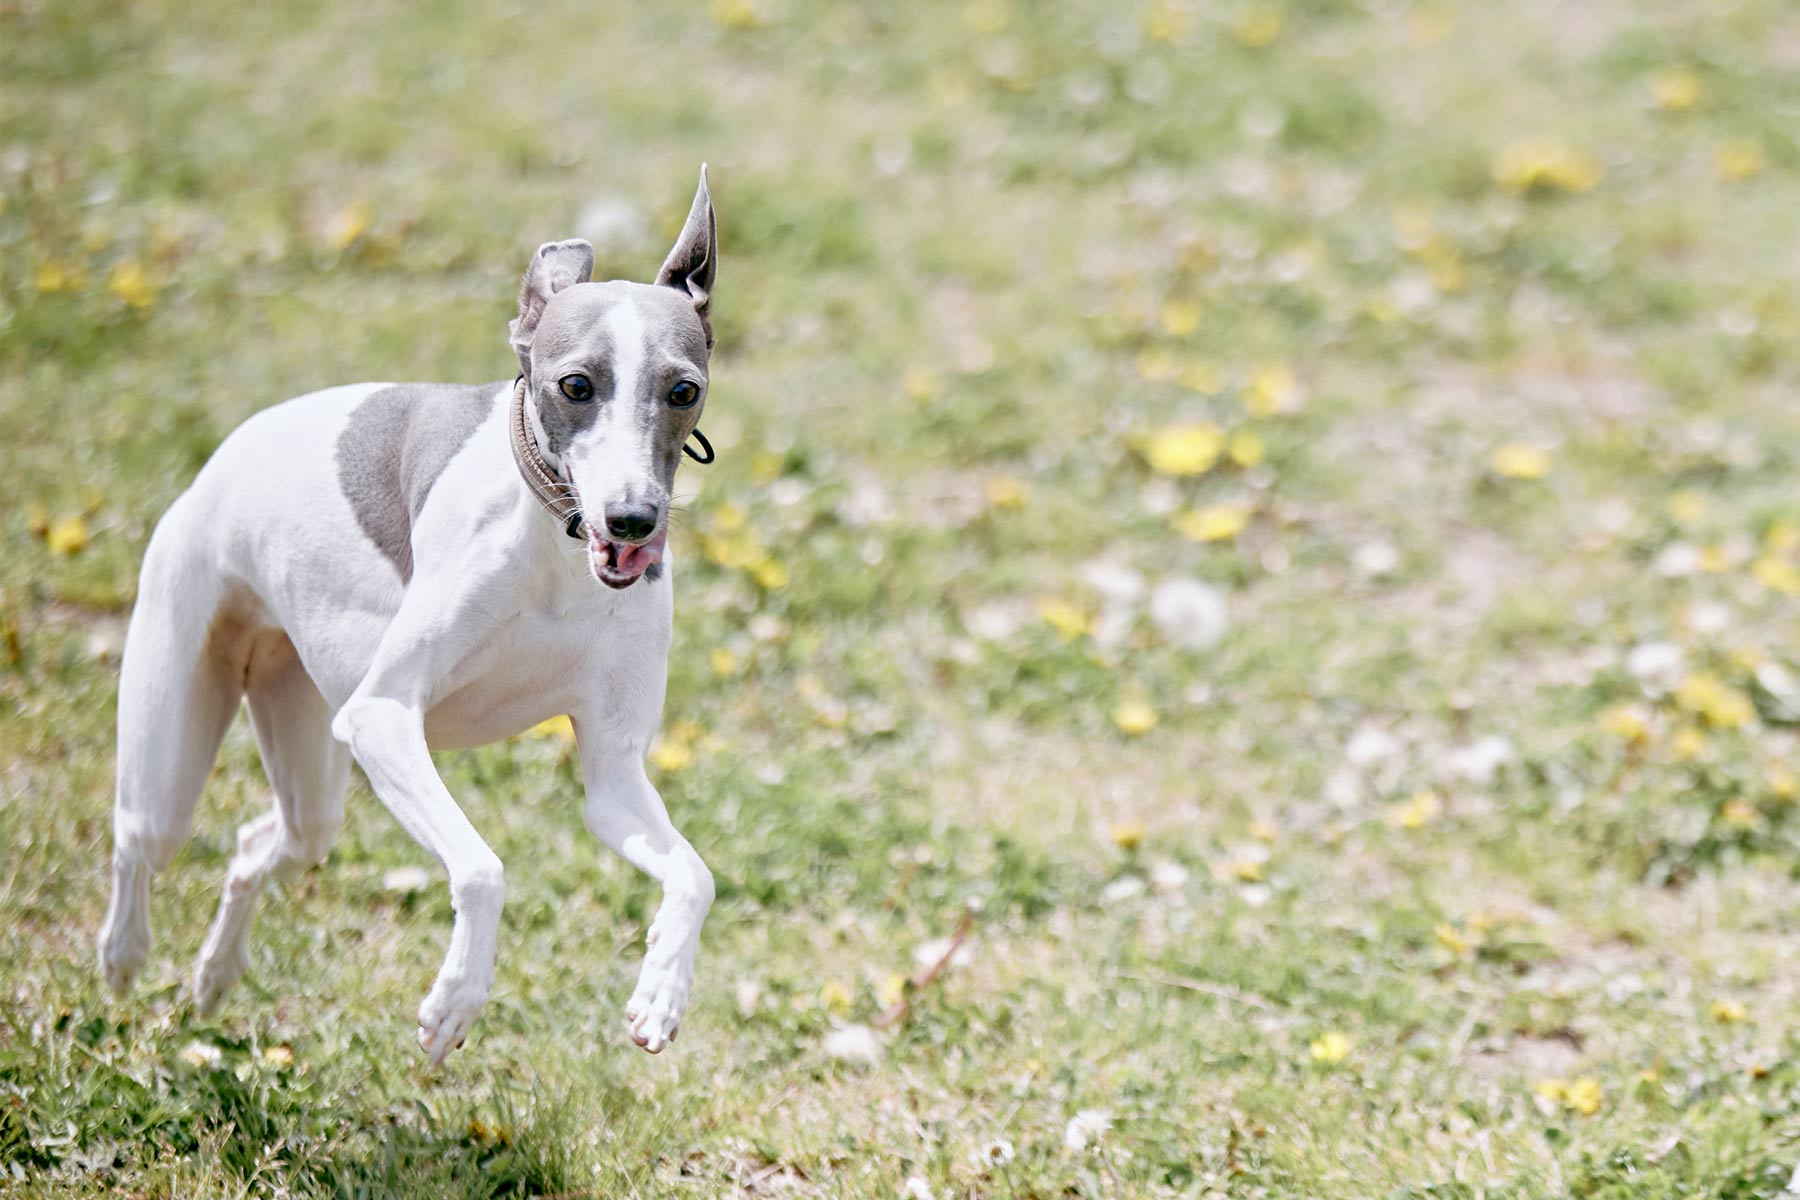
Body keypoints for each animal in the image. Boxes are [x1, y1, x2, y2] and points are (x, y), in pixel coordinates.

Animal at [96, 166, 723, 1057]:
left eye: (683, 390)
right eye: (576, 385)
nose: (633, 521)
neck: (555, 549)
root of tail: (221, 459)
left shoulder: (615, 774)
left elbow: (695, 876)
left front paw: (662, 991)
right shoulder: (383, 718)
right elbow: (482, 867)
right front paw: (456, 998)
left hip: (304, 760)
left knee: (264, 843)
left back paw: (215, 974)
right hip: (175, 731)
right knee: (140, 838)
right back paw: (121, 956)